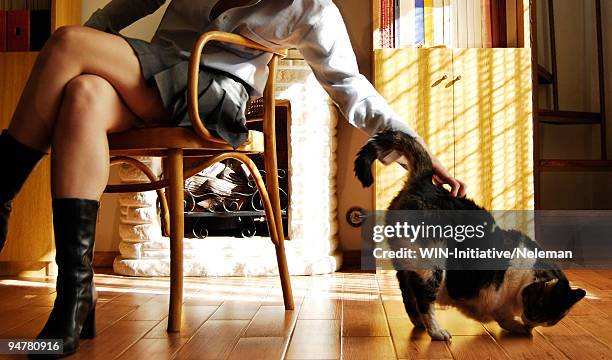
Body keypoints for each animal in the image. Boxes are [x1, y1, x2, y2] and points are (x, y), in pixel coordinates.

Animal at [356, 129, 584, 340]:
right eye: (539, 313)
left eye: (549, 321)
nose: (530, 325)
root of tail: (425, 180)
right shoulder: (492, 296)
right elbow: (502, 316)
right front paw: (519, 327)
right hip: (432, 264)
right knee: (424, 300)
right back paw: (436, 332)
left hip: (407, 263)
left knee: (407, 294)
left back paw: (420, 323)